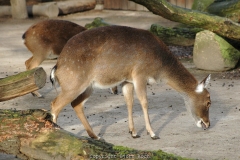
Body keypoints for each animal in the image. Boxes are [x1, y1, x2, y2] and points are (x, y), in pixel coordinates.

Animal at [49, 25, 211, 139]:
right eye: (209, 101)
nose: (208, 124)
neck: (160, 66)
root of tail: (57, 67)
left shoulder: (127, 80)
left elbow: (129, 101)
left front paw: (133, 132)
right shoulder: (140, 74)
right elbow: (144, 101)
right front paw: (152, 133)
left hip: (87, 87)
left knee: (76, 104)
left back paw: (96, 136)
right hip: (73, 83)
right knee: (55, 104)